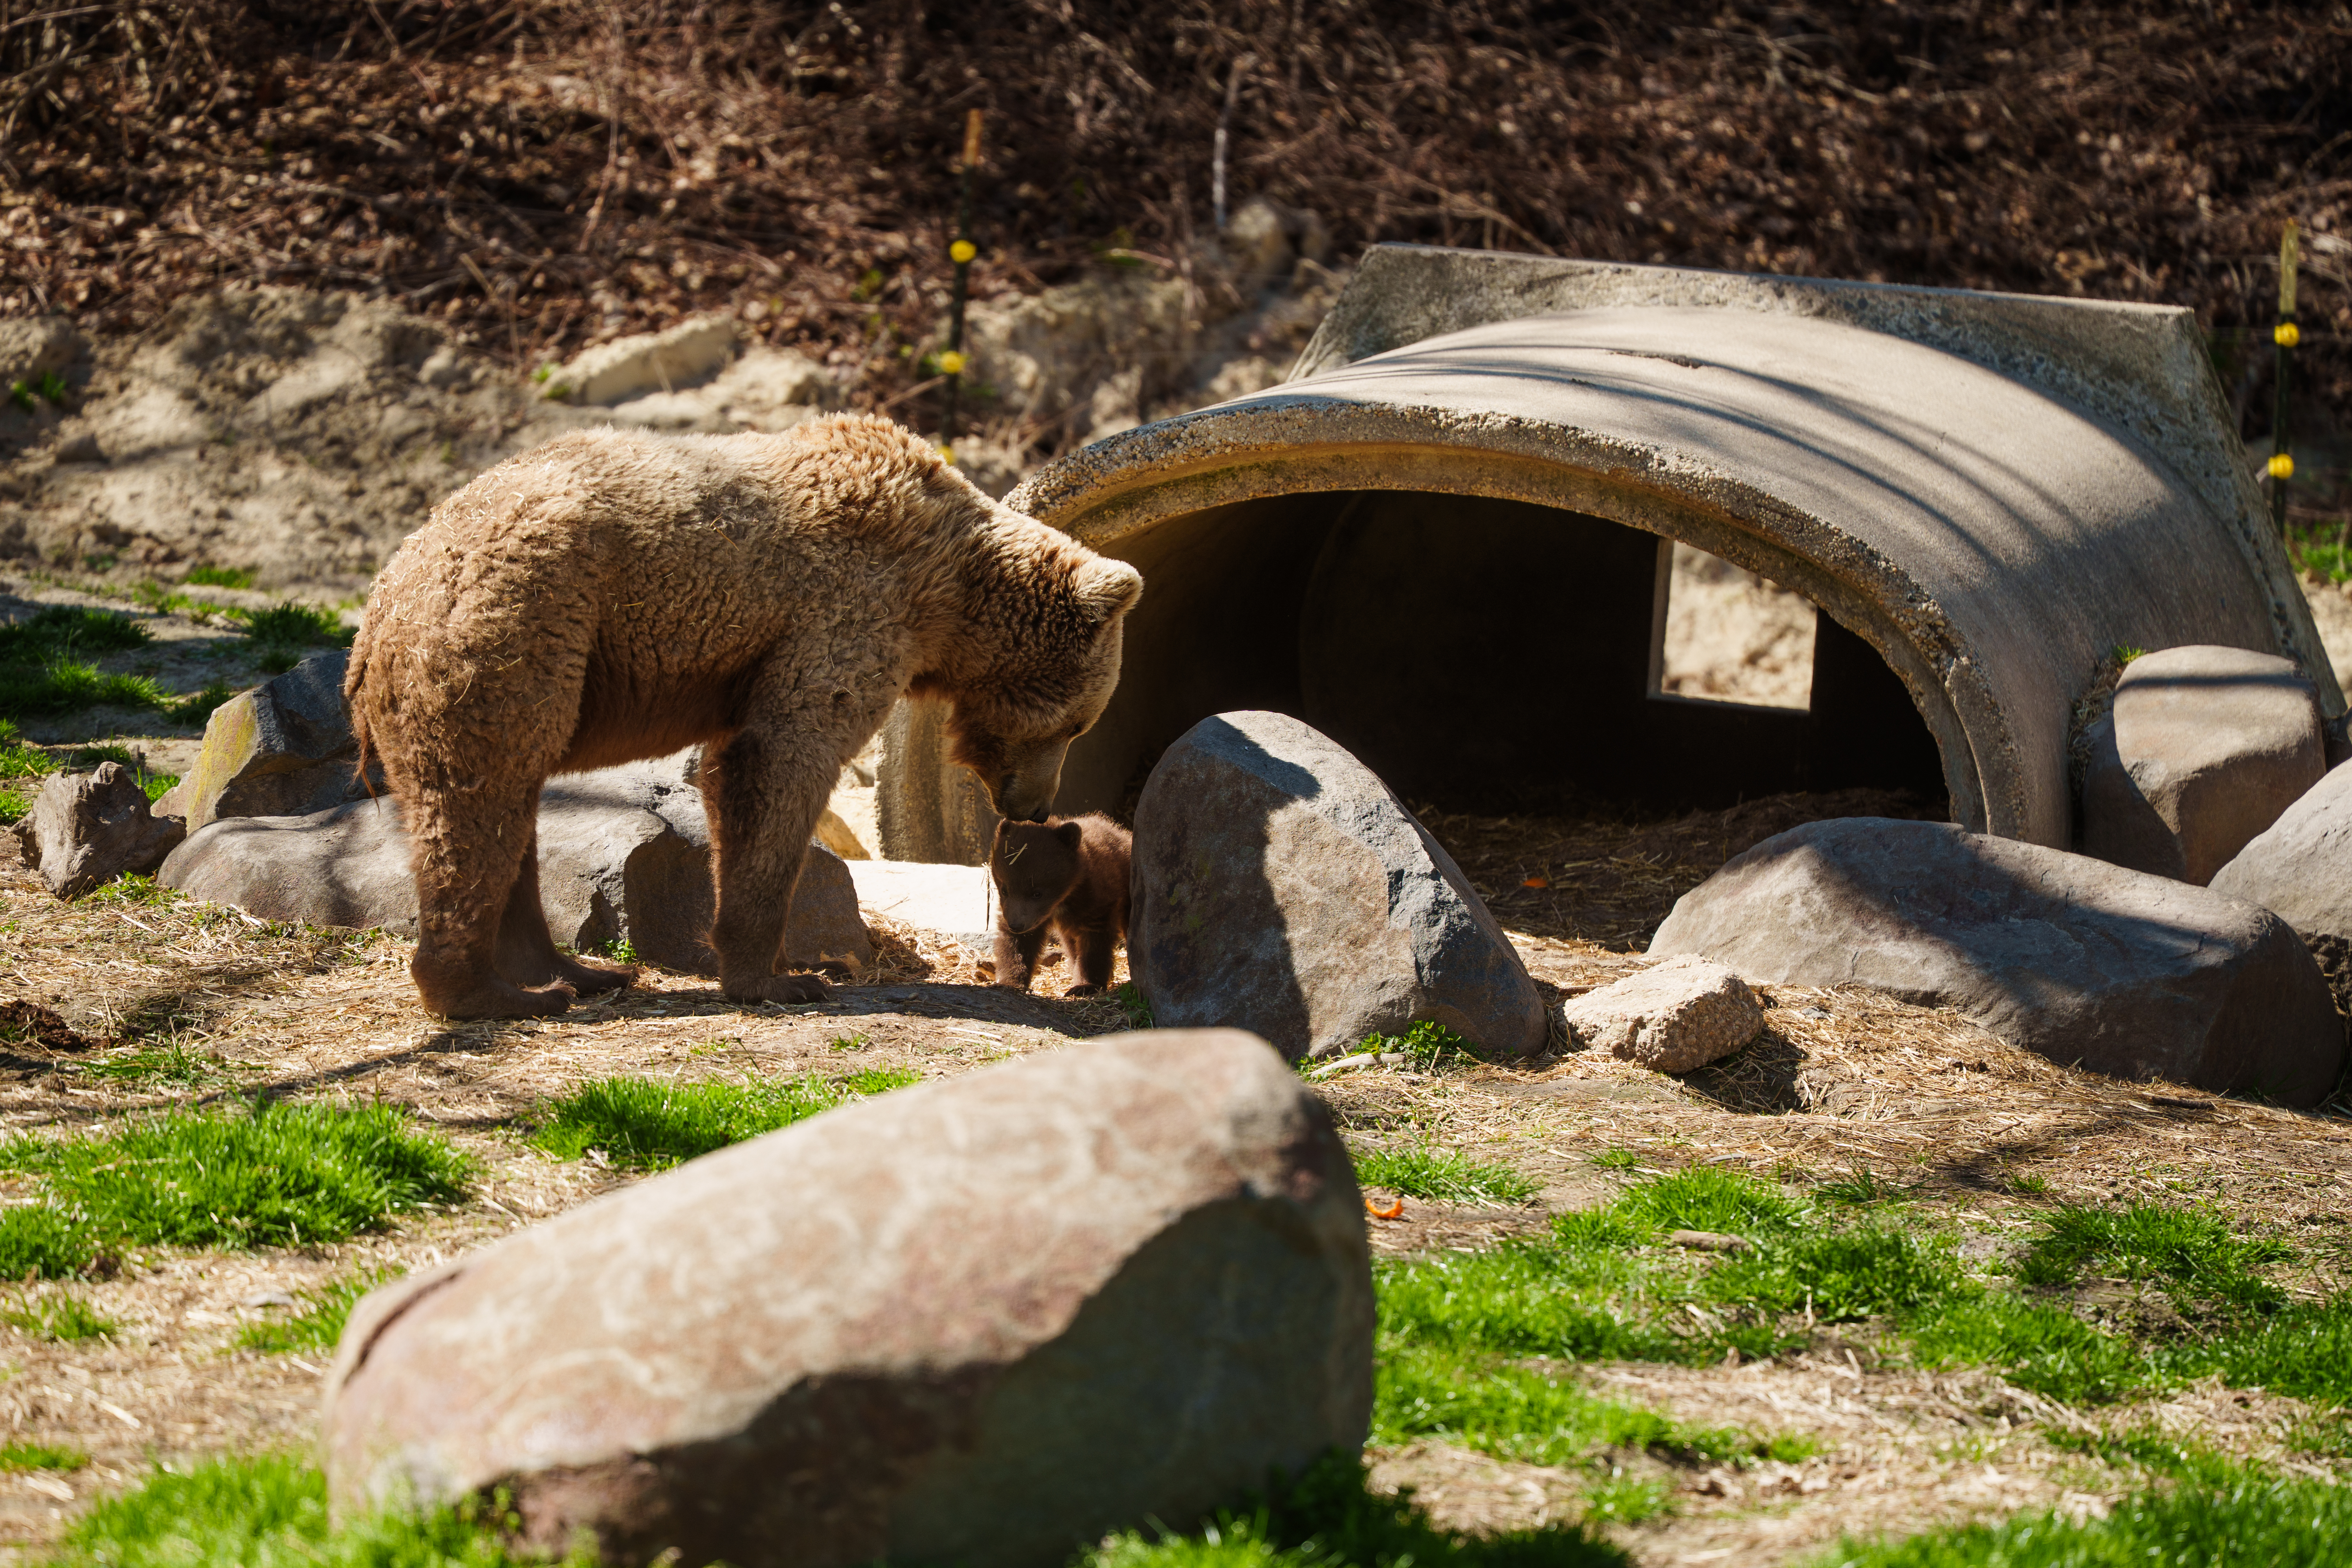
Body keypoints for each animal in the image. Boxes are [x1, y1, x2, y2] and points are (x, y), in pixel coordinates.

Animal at [989, 812, 1132, 997]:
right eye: (1005, 889)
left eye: (1037, 893)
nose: (1016, 925)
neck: (1064, 898)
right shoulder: (1026, 914)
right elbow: (1017, 945)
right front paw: (1009, 981)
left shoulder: (1097, 903)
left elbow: (1094, 944)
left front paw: (1085, 985)